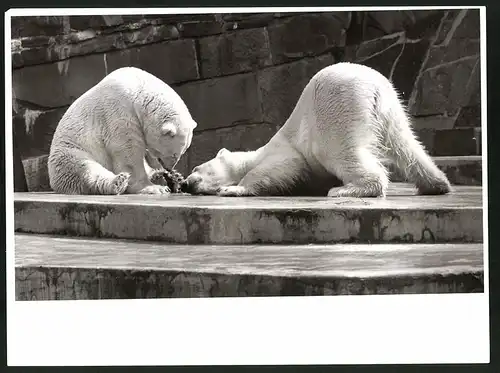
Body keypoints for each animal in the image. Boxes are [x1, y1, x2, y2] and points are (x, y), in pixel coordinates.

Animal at [47, 66, 195, 195]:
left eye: (182, 152)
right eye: (175, 154)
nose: (169, 168)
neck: (138, 90)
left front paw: (170, 176)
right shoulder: (118, 110)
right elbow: (128, 149)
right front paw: (152, 188)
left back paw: (167, 177)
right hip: (70, 151)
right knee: (85, 168)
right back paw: (118, 182)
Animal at [184, 61, 454, 198]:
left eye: (196, 168)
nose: (186, 184)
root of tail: (374, 85)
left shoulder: (283, 151)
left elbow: (283, 166)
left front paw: (234, 188)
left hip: (337, 107)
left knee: (335, 151)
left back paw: (345, 190)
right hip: (391, 108)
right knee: (405, 144)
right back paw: (436, 184)